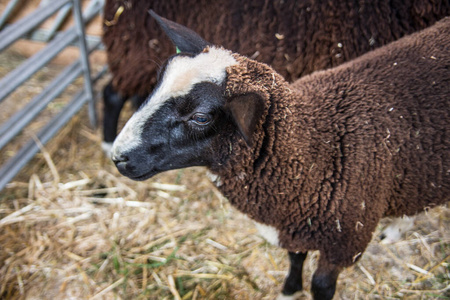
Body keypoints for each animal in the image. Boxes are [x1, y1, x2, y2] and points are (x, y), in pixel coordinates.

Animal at [110, 12, 450, 300]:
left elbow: (321, 286)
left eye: (201, 117)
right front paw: (289, 291)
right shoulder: (293, 220)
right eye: (156, 85)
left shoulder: (344, 240)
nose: (118, 156)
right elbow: (294, 258)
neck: (314, 149)